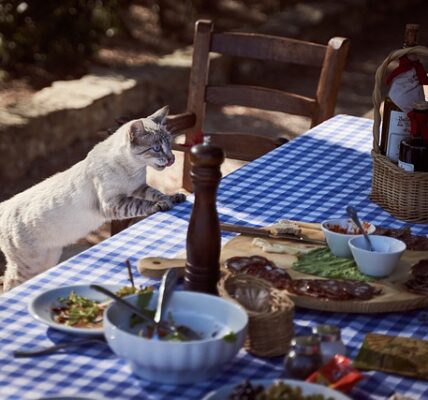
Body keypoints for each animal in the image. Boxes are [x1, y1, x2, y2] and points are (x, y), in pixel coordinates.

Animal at [0, 105, 185, 290]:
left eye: (170, 144)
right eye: (157, 149)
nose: (172, 158)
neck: (133, 170)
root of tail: (6, 204)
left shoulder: (138, 188)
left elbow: (156, 193)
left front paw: (173, 197)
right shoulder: (112, 203)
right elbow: (141, 204)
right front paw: (161, 205)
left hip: (48, 259)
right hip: (30, 266)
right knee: (9, 283)